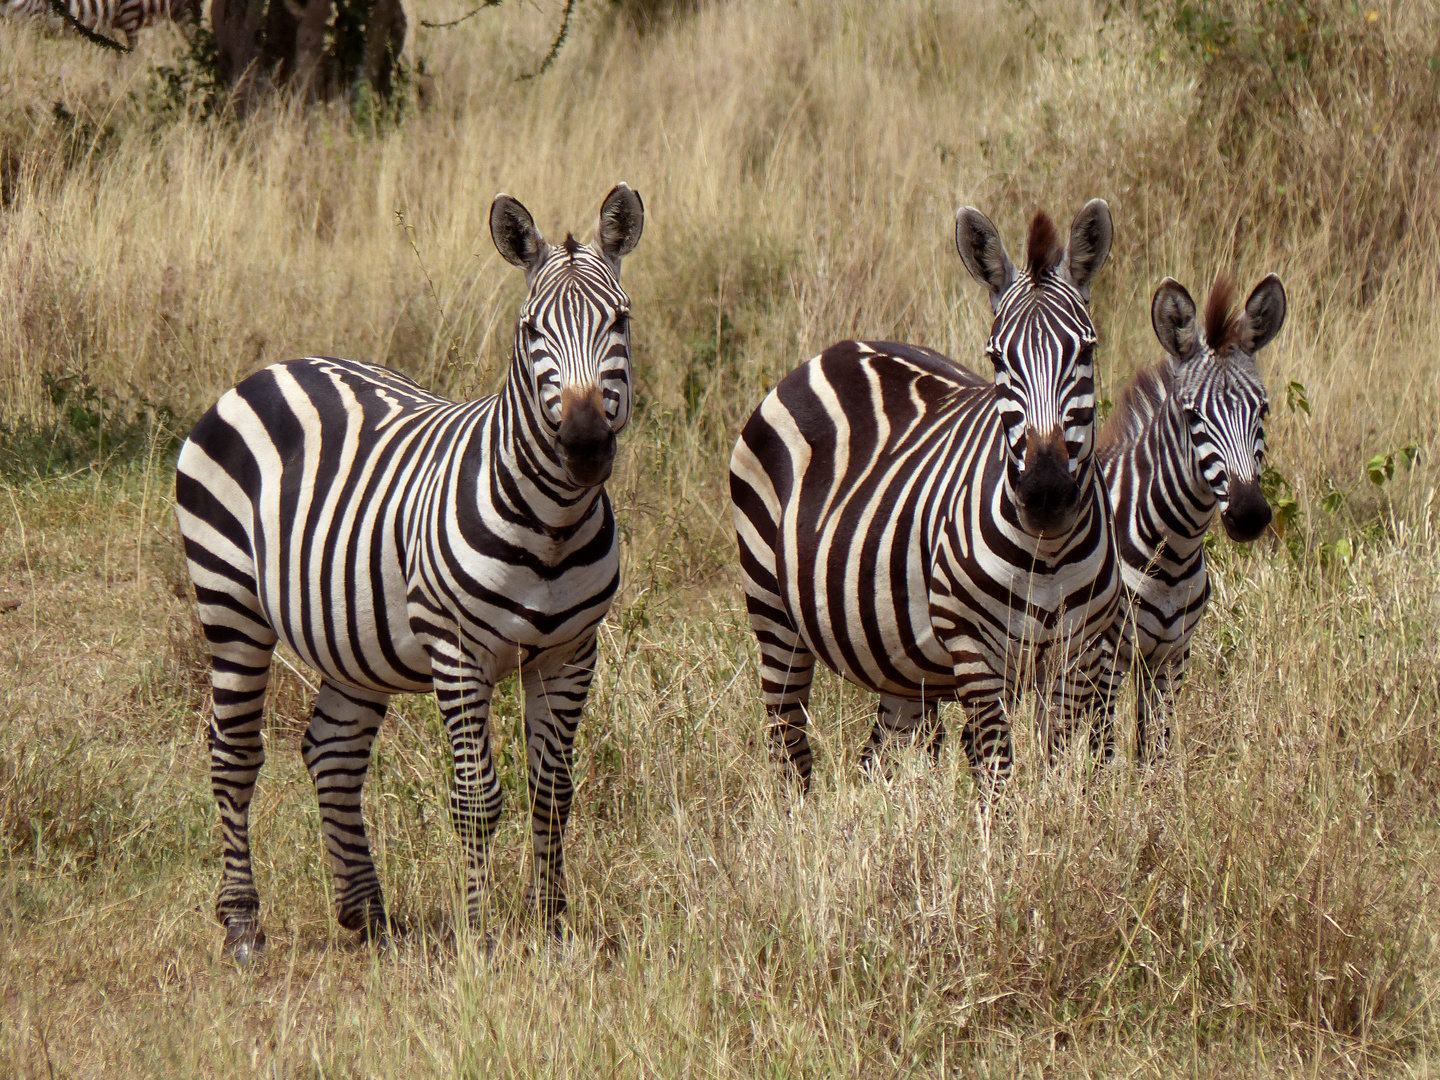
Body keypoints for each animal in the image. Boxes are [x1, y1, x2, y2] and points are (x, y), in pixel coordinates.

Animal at [174, 185, 642, 961]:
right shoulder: (458, 651)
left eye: (621, 321)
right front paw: (481, 934)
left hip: (352, 635)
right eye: (529, 332)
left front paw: (550, 924)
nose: (583, 447)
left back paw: (364, 911)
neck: (552, 525)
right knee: (233, 755)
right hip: (229, 600)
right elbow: (477, 798)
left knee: (331, 750)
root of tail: (273, 368)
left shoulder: (571, 652)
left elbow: (554, 793)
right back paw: (242, 922)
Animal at [731, 204, 1123, 794]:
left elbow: (1062, 770)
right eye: (997, 359)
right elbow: (998, 777)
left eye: (1087, 350)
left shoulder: (1082, 653)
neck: (1047, 551)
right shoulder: (974, 651)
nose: (1046, 493)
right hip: (773, 612)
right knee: (787, 747)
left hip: (899, 664)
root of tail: (831, 351)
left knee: (880, 760)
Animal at [1094, 272, 1290, 760]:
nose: (1249, 514)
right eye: (1192, 415)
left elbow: (1156, 754)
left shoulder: (1172, 656)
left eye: (1264, 409)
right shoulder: (1107, 655)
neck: (1173, 551)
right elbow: (1102, 754)